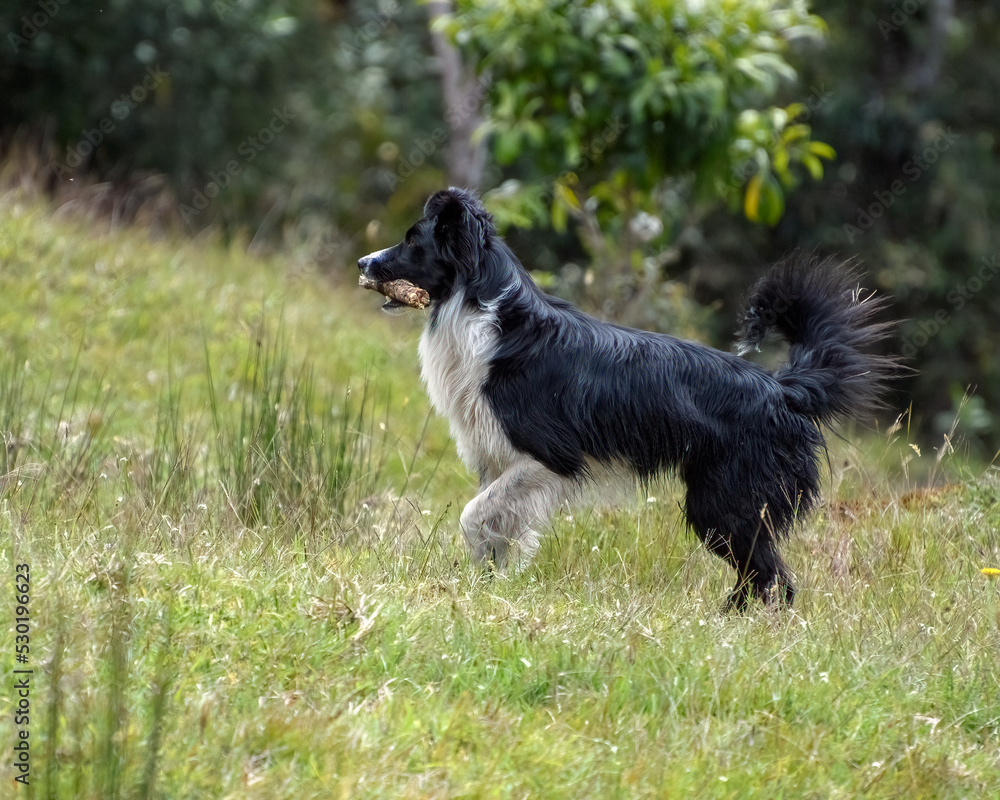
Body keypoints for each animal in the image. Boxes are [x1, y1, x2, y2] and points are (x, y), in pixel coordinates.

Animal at [358, 188, 892, 608]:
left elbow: (473, 517)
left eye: (413, 241)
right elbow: (499, 530)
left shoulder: (548, 459)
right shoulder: (499, 460)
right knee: (761, 576)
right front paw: (493, 585)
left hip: (725, 503)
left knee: (773, 578)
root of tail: (783, 389)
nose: (363, 263)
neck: (483, 313)